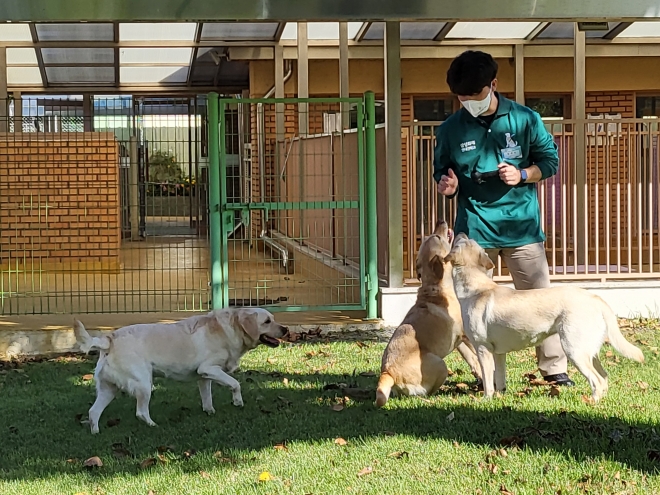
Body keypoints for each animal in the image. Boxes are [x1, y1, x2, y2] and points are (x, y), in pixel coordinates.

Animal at [73, 310, 288, 434]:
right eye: (267, 321)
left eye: (274, 319)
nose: (285, 329)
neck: (229, 328)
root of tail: (109, 338)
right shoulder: (209, 368)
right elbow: (235, 384)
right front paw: (238, 402)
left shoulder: (204, 377)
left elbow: (207, 397)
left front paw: (209, 412)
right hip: (144, 384)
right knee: (141, 412)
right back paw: (154, 425)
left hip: (108, 389)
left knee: (93, 412)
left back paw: (96, 432)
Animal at [376, 221, 480, 406]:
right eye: (437, 236)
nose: (440, 221)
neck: (436, 286)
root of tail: (388, 372)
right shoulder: (466, 334)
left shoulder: (460, 339)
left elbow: (473, 358)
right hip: (439, 363)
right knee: (427, 391)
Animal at [444, 233, 644, 404]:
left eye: (460, 241)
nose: (461, 231)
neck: (476, 288)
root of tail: (595, 298)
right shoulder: (499, 353)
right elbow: (499, 378)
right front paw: (500, 397)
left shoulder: (482, 348)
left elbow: (487, 380)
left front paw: (486, 400)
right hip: (588, 350)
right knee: (604, 376)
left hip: (574, 349)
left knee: (597, 380)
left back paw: (590, 402)